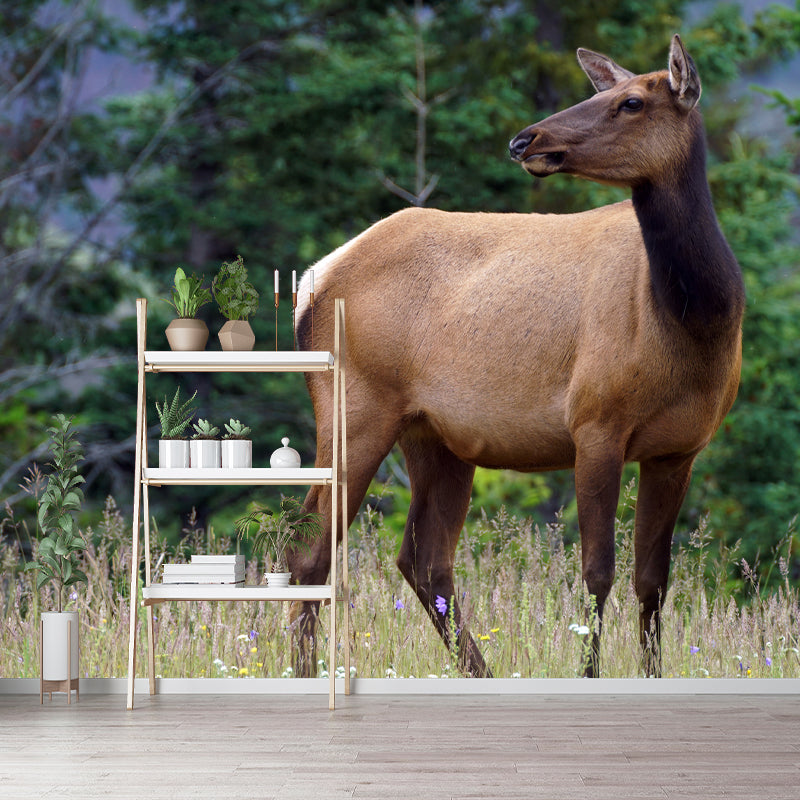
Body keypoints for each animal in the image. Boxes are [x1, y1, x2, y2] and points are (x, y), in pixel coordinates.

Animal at [289, 35, 745, 679]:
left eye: (630, 102)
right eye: (602, 92)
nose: (525, 139)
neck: (696, 323)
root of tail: (313, 279)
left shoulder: (680, 448)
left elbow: (652, 583)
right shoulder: (594, 423)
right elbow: (596, 574)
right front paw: (590, 676)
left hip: (435, 436)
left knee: (423, 559)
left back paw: (478, 673)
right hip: (353, 406)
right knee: (310, 550)